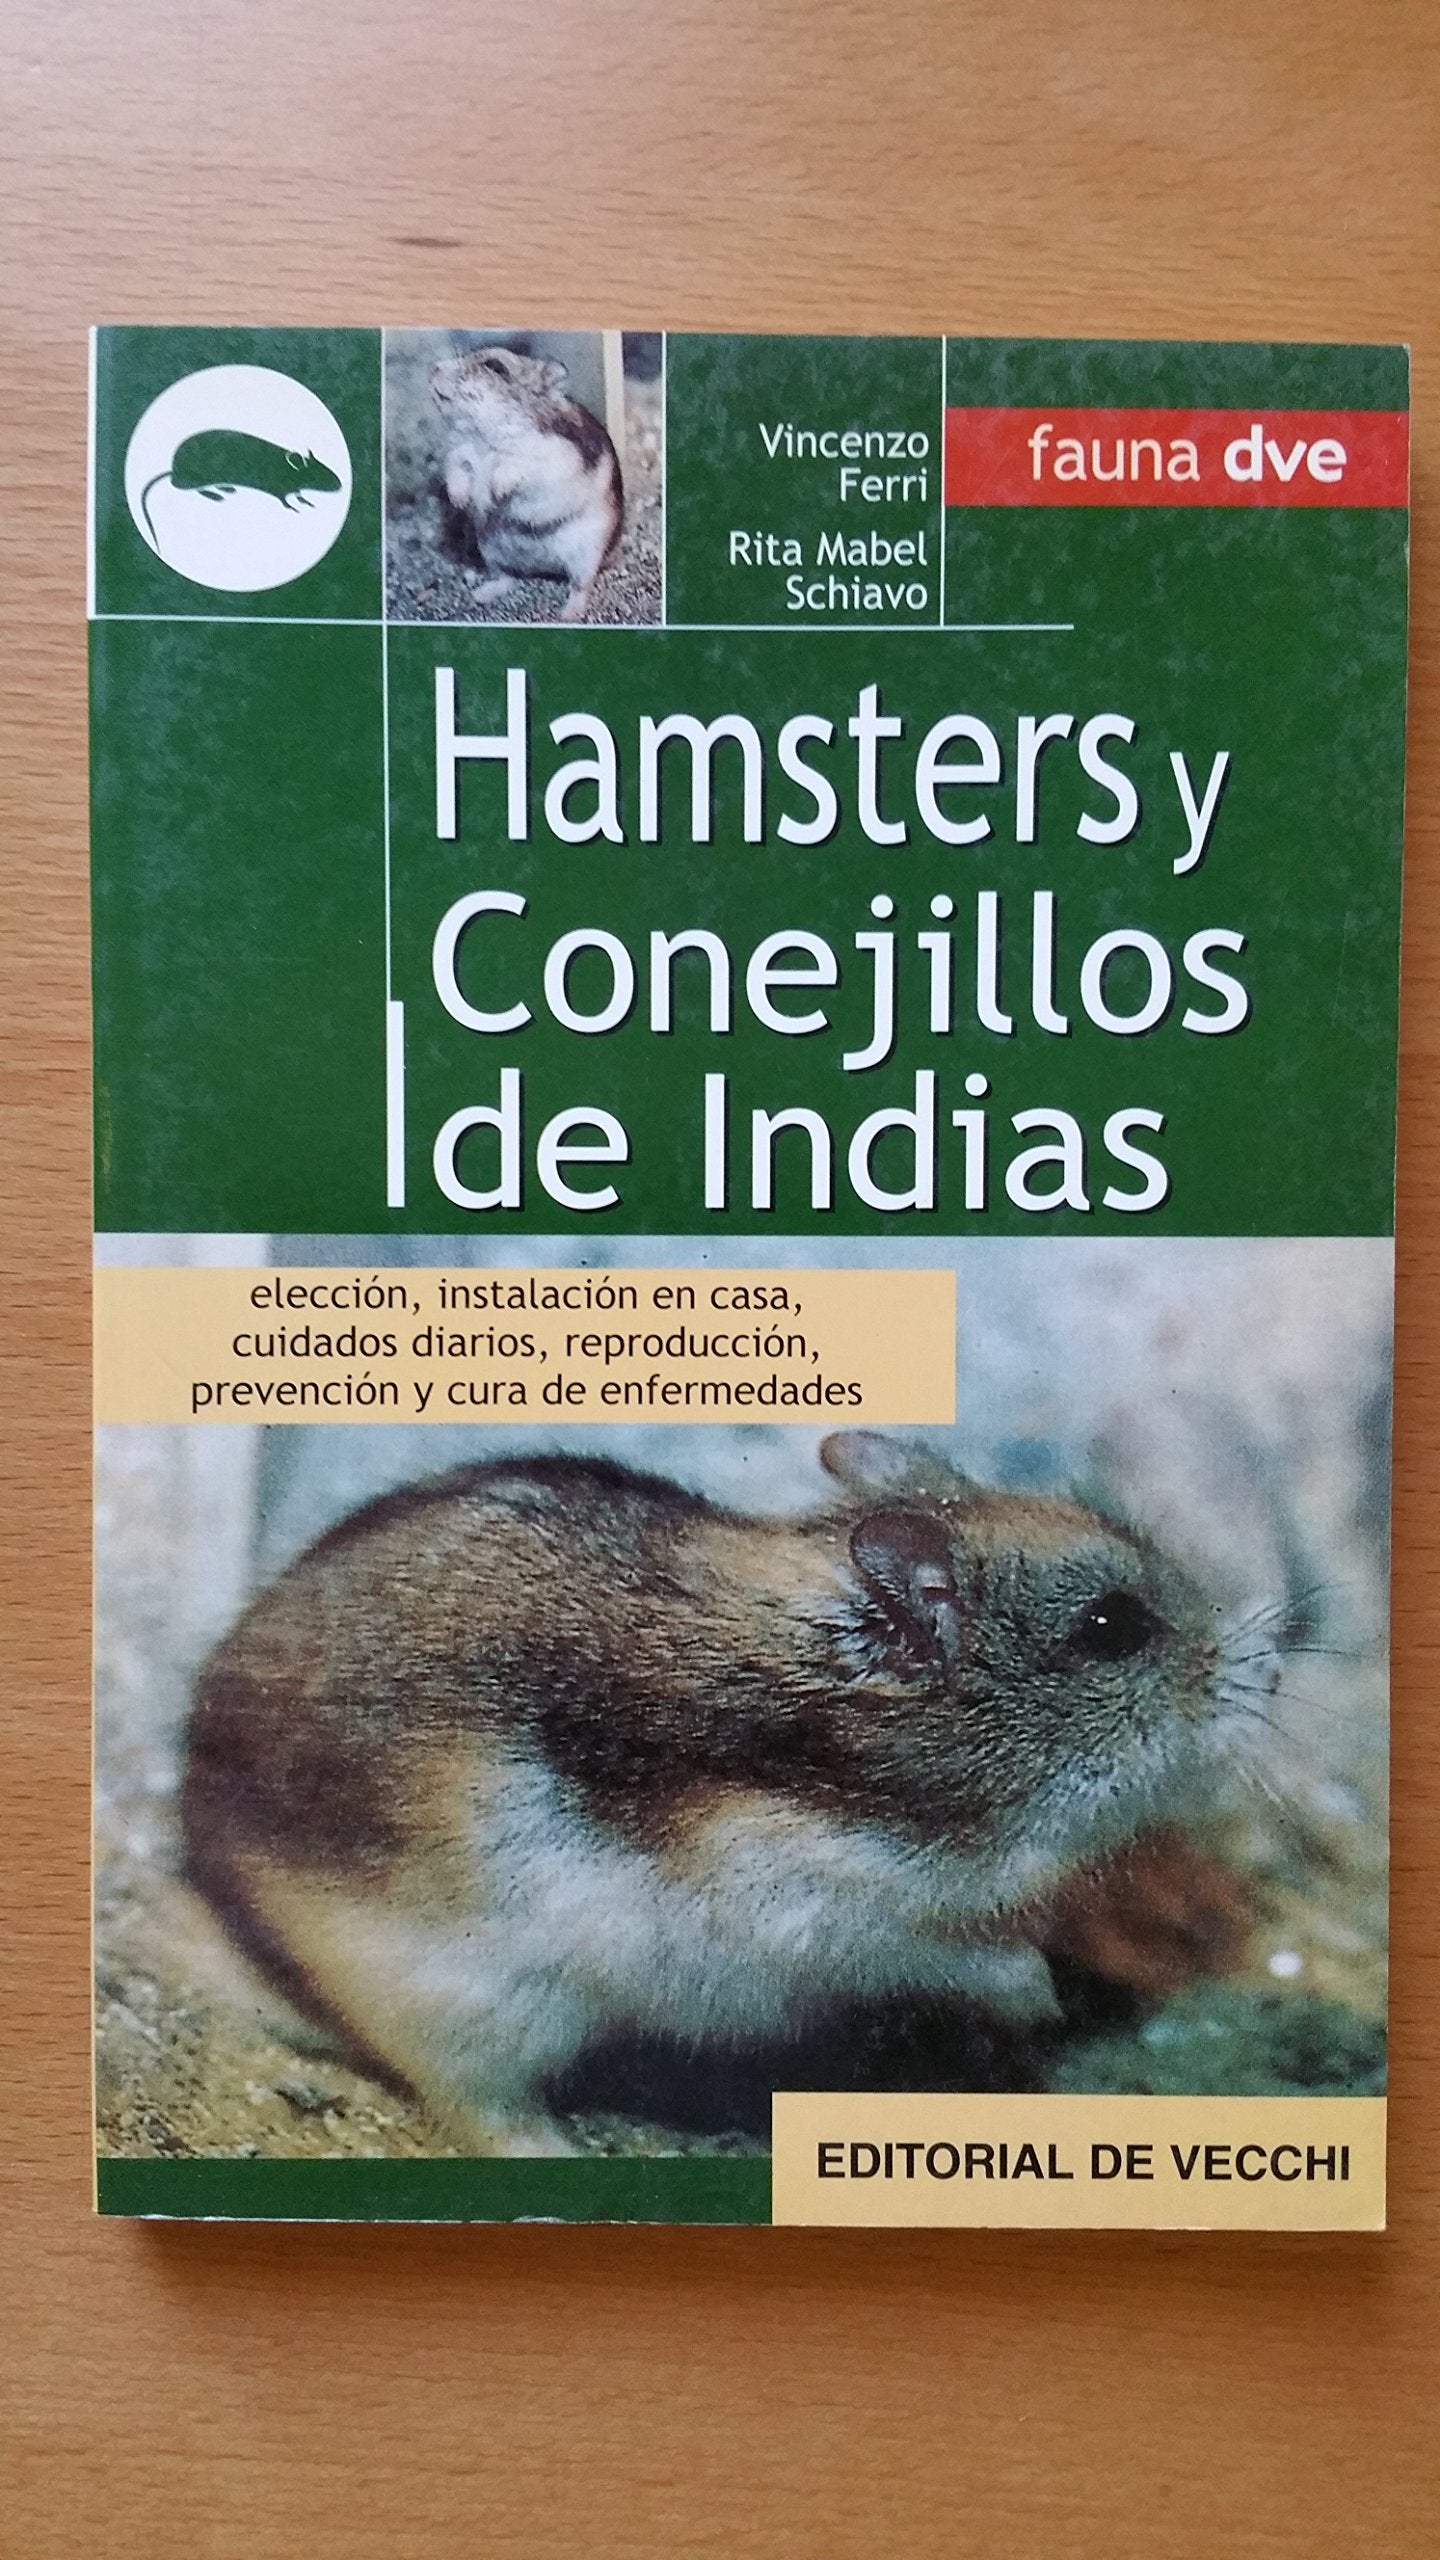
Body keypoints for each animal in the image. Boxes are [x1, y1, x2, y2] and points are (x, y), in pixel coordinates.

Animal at [182, 1431, 1232, 2155]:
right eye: (1114, 1627)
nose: (1238, 1665)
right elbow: (971, 1956)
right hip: (465, 2003)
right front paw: (1043, 1999)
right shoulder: (840, 1922)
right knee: (476, 2105)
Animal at [430, 345, 623, 623]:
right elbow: (457, 474)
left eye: (495, 367)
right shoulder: (458, 455)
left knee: (581, 585)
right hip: (491, 551)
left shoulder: (552, 463)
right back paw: (480, 595)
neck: (483, 437)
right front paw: (460, 501)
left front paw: (497, 492)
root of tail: (542, 567)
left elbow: (516, 467)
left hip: (586, 552)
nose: (433, 369)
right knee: (506, 577)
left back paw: (568, 615)